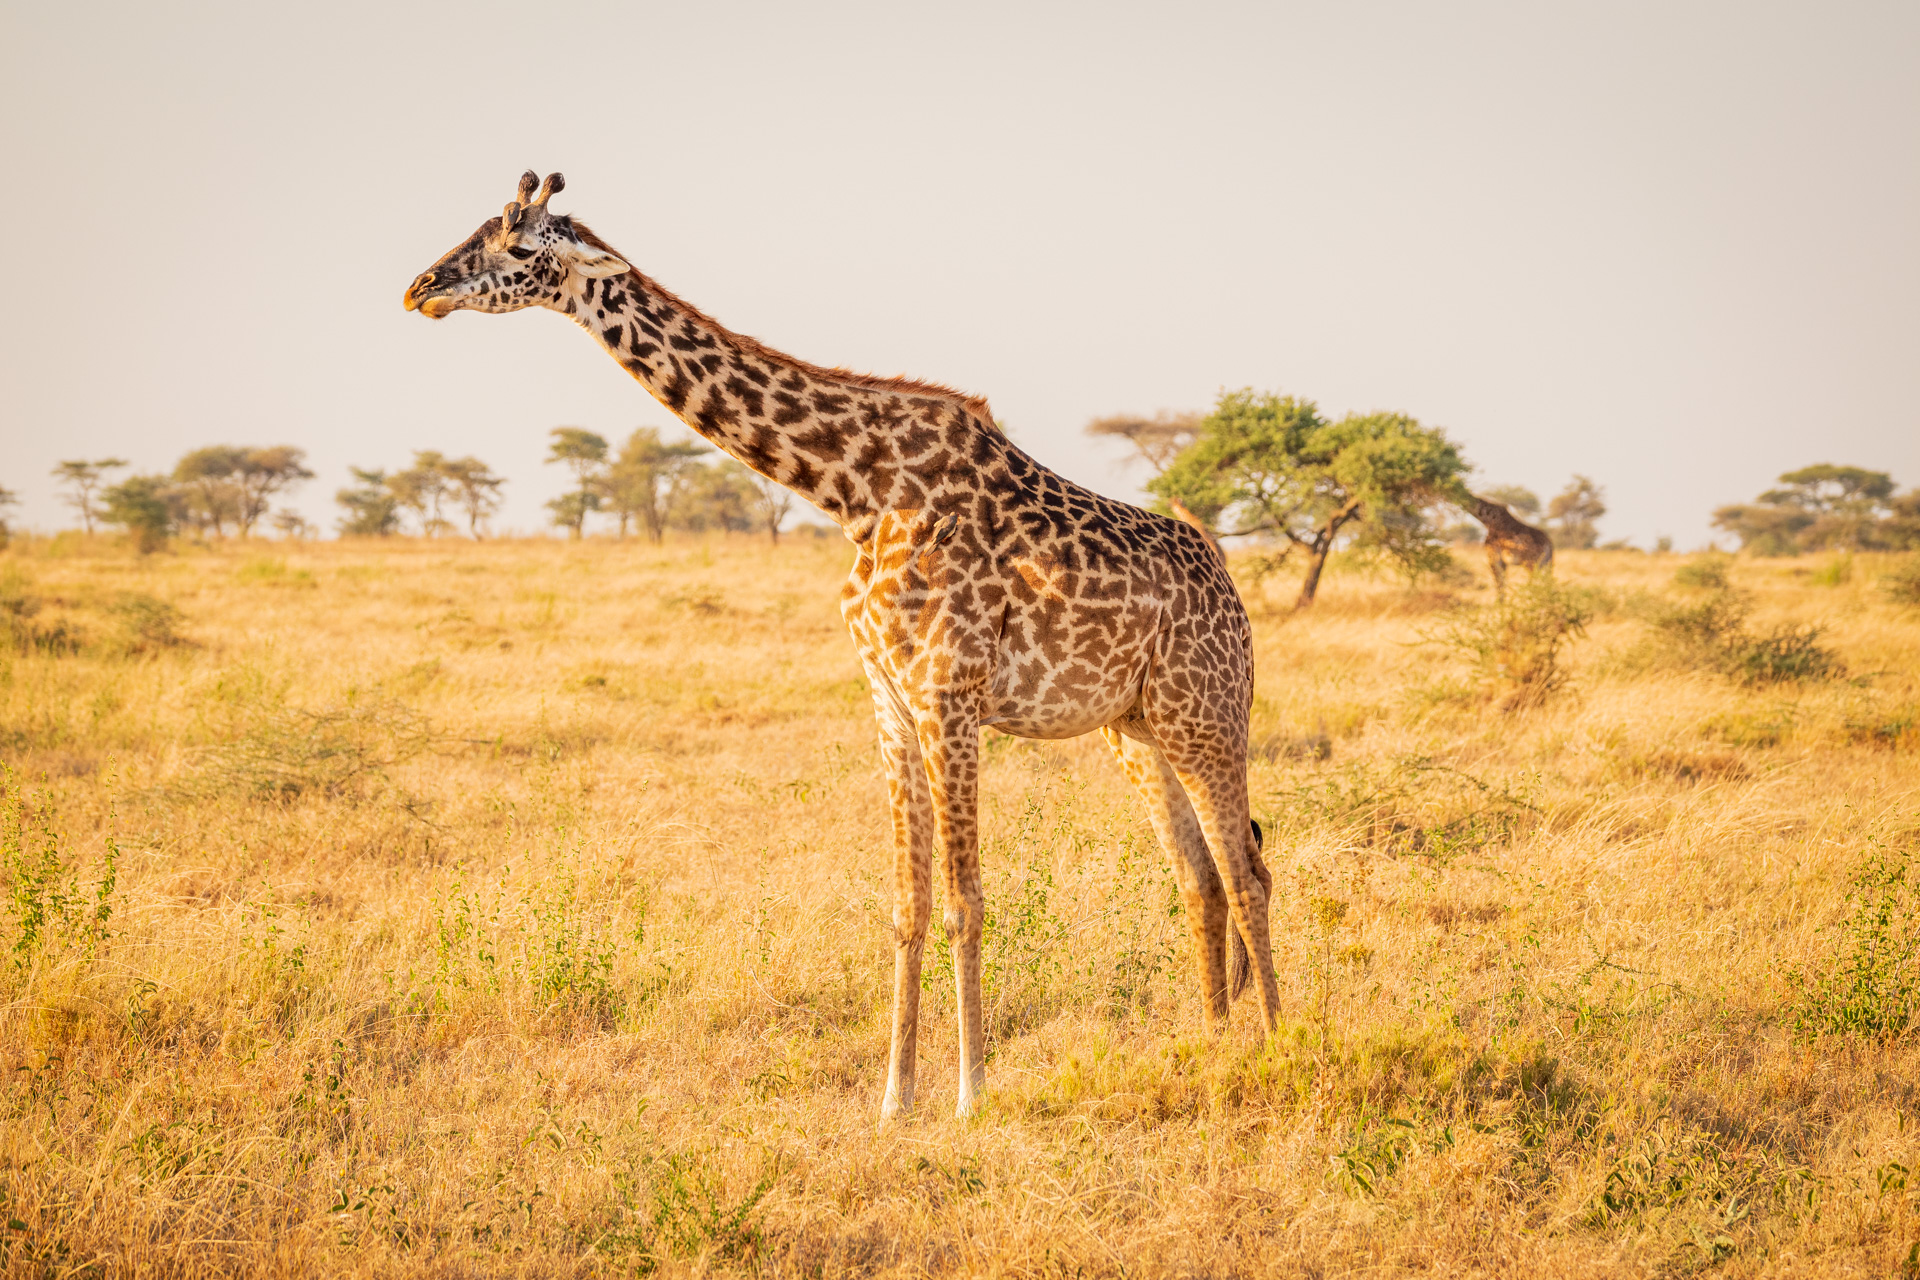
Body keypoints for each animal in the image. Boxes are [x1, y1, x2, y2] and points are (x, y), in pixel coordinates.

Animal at [399, 172, 1282, 1120]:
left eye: (522, 245)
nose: (422, 289)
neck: (856, 491)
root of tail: (1231, 591)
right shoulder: (889, 703)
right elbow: (907, 903)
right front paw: (894, 1101)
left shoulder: (948, 696)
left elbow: (965, 900)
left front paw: (970, 1096)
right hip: (1138, 729)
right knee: (1200, 876)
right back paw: (1210, 1041)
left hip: (1206, 713)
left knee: (1247, 871)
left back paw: (1282, 1041)